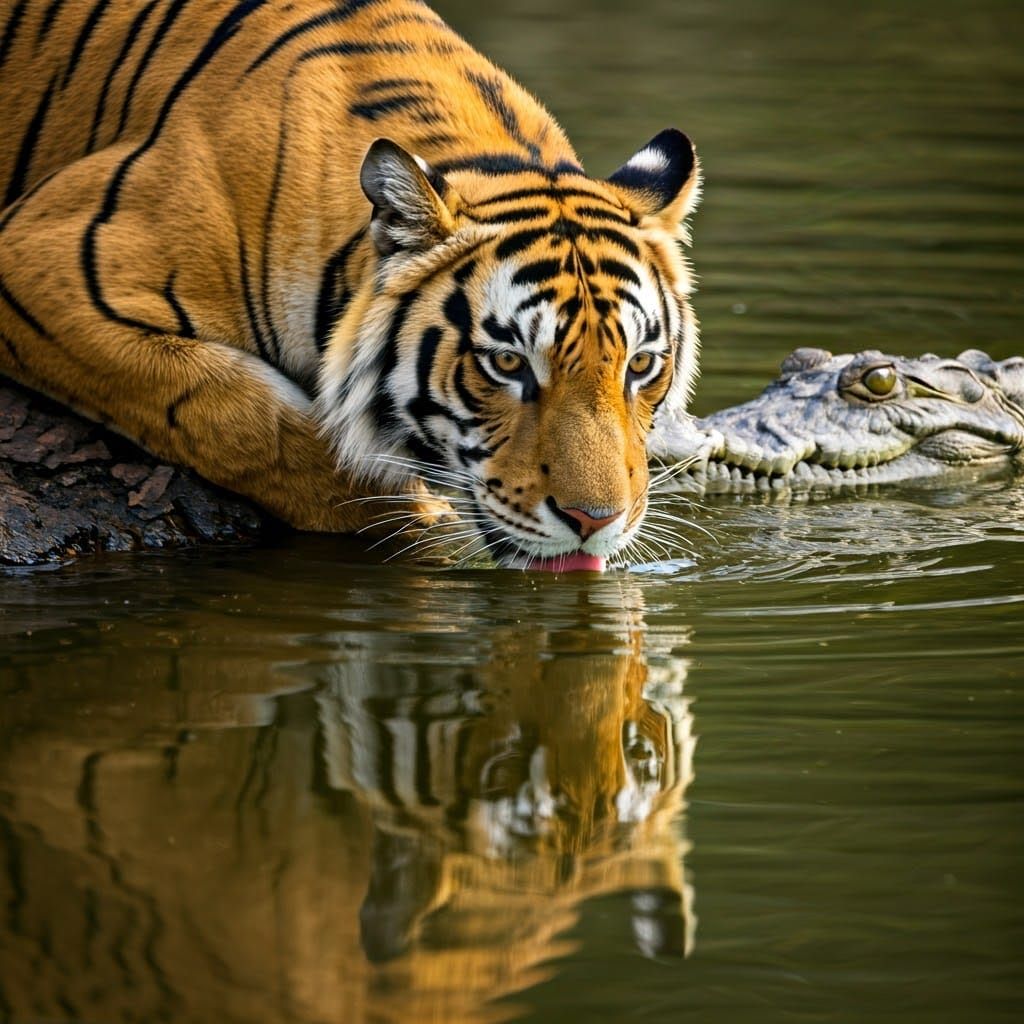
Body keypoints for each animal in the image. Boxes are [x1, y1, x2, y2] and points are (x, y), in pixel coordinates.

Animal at [0, 0, 701, 569]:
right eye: (506, 363)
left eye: (640, 366)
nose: (595, 522)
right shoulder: (44, 259)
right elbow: (235, 414)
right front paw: (419, 524)